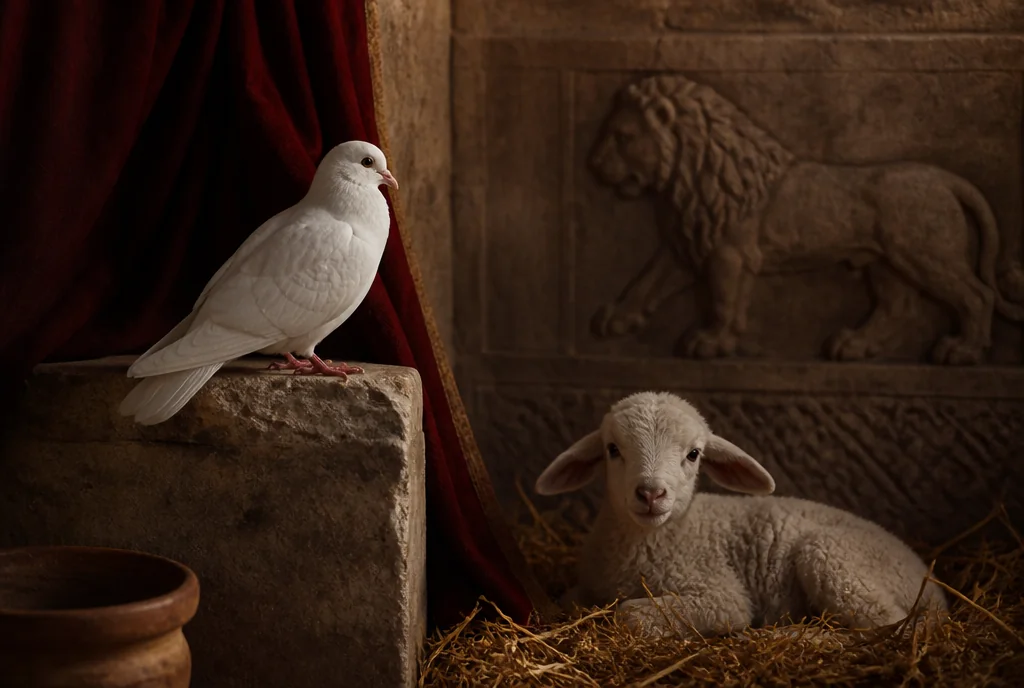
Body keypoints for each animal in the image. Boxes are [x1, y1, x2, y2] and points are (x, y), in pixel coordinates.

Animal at [588, 74, 1024, 365]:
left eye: (623, 136)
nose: (593, 165)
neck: (688, 175)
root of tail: (946, 179)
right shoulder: (689, 243)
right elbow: (647, 281)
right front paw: (617, 318)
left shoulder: (730, 253)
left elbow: (724, 299)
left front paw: (711, 342)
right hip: (887, 263)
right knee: (897, 307)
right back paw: (853, 345)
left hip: (924, 253)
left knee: (977, 295)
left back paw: (963, 350)